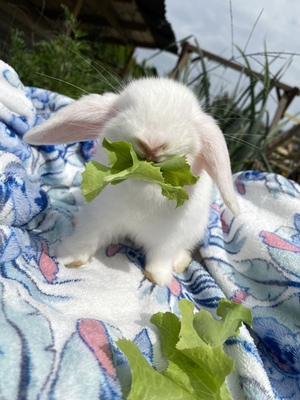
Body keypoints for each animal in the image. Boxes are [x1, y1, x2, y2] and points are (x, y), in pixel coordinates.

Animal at [24, 77, 239, 284]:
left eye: (188, 122)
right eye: (125, 109)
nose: (152, 144)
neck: (144, 188)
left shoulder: (168, 238)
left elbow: (161, 257)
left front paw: (158, 278)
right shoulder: (97, 217)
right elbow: (86, 239)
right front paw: (66, 258)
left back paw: (180, 263)